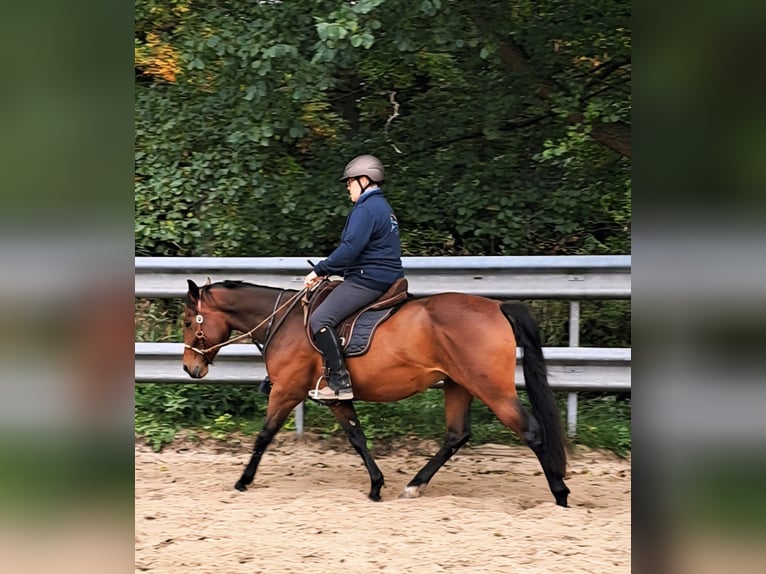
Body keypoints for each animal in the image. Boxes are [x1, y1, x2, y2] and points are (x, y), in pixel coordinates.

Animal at [182, 279, 570, 507]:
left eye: (188, 322)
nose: (190, 368)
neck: (286, 321)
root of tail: (496, 306)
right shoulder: (335, 398)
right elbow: (357, 437)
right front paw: (376, 485)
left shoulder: (287, 391)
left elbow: (264, 435)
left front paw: (243, 481)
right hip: (458, 385)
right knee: (456, 435)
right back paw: (414, 485)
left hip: (490, 387)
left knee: (531, 431)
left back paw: (560, 494)